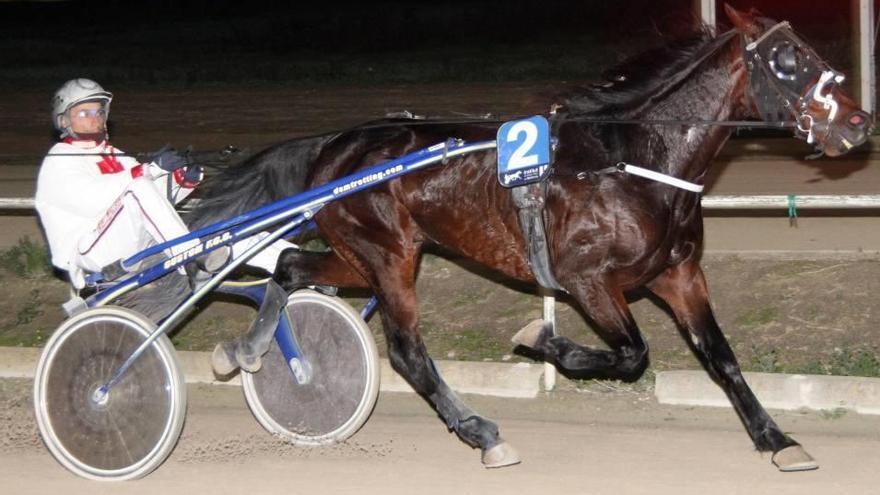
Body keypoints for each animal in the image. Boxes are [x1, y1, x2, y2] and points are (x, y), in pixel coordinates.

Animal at [187, 5, 872, 472]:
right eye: (789, 62)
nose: (860, 123)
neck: (631, 159)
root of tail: (333, 144)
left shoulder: (679, 273)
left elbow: (720, 357)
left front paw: (776, 439)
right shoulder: (588, 281)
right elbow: (631, 354)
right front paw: (543, 341)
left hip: (364, 255)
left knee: (291, 265)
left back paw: (245, 349)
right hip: (389, 254)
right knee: (407, 352)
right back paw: (480, 431)